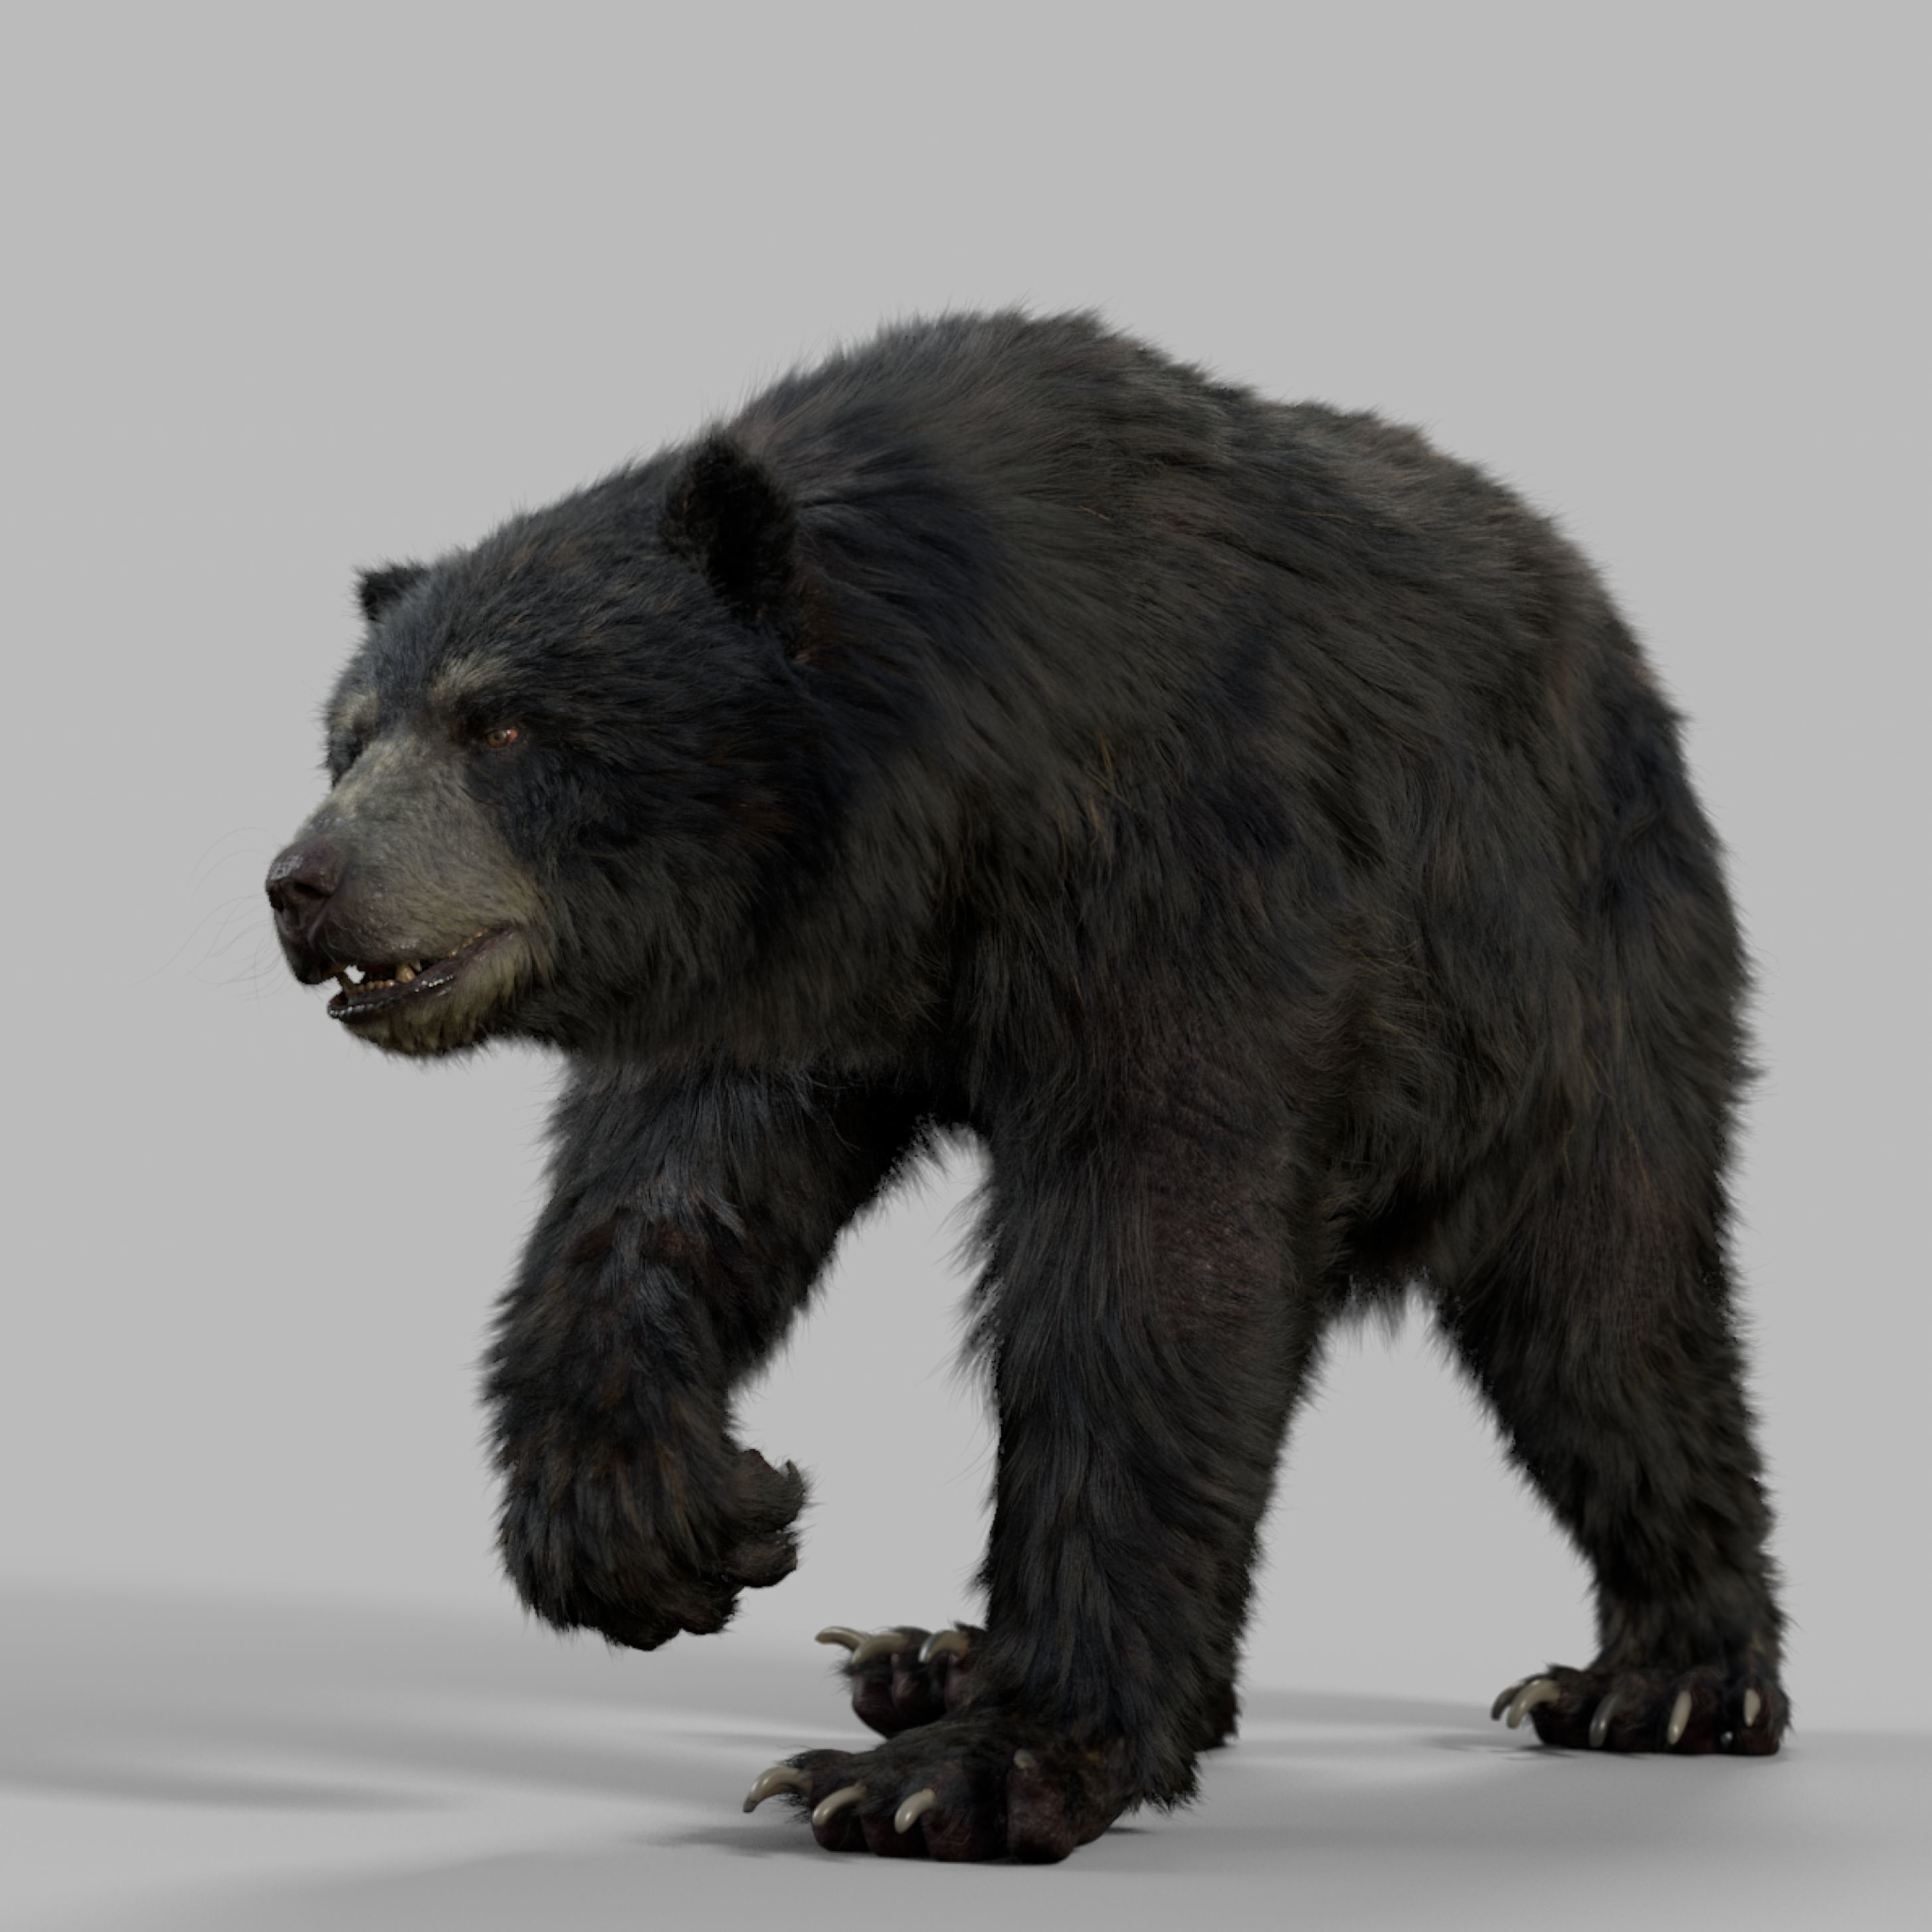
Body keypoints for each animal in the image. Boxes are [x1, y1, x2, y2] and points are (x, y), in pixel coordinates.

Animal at [267, 310, 1788, 1862]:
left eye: (501, 724)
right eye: (348, 732)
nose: (304, 882)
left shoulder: (1183, 849)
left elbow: (1148, 1258)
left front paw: (969, 1768)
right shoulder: (804, 963)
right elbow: (668, 1183)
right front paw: (670, 1520)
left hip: (1568, 976)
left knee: (1602, 1310)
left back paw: (1664, 1678)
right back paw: (927, 1653)